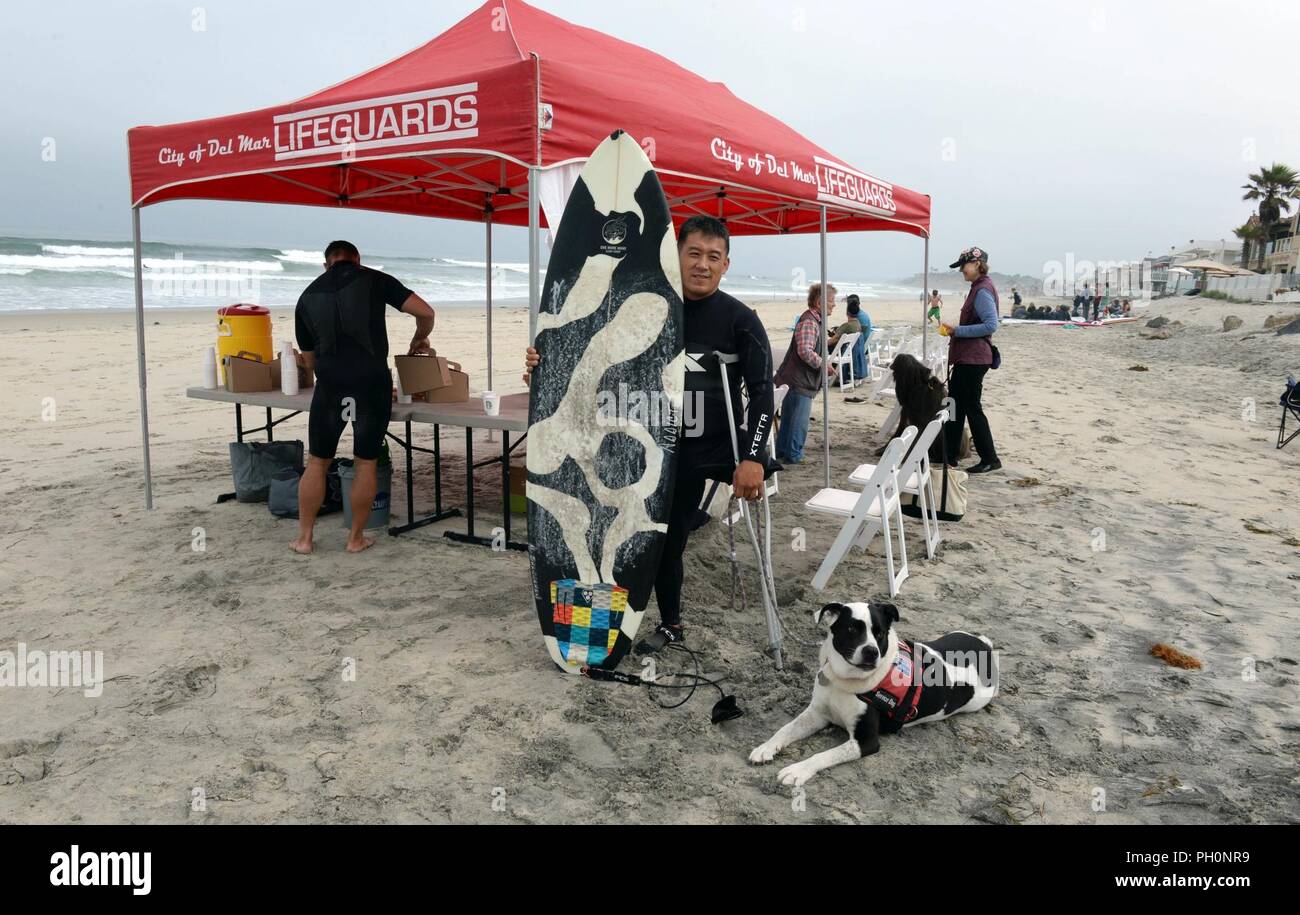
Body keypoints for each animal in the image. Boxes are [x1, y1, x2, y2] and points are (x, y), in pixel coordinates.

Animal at [748, 600, 998, 785]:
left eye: (880, 633)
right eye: (851, 629)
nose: (871, 652)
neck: (844, 681)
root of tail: (985, 647)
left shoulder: (866, 741)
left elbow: (824, 754)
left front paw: (797, 770)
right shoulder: (818, 714)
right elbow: (786, 729)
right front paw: (765, 747)